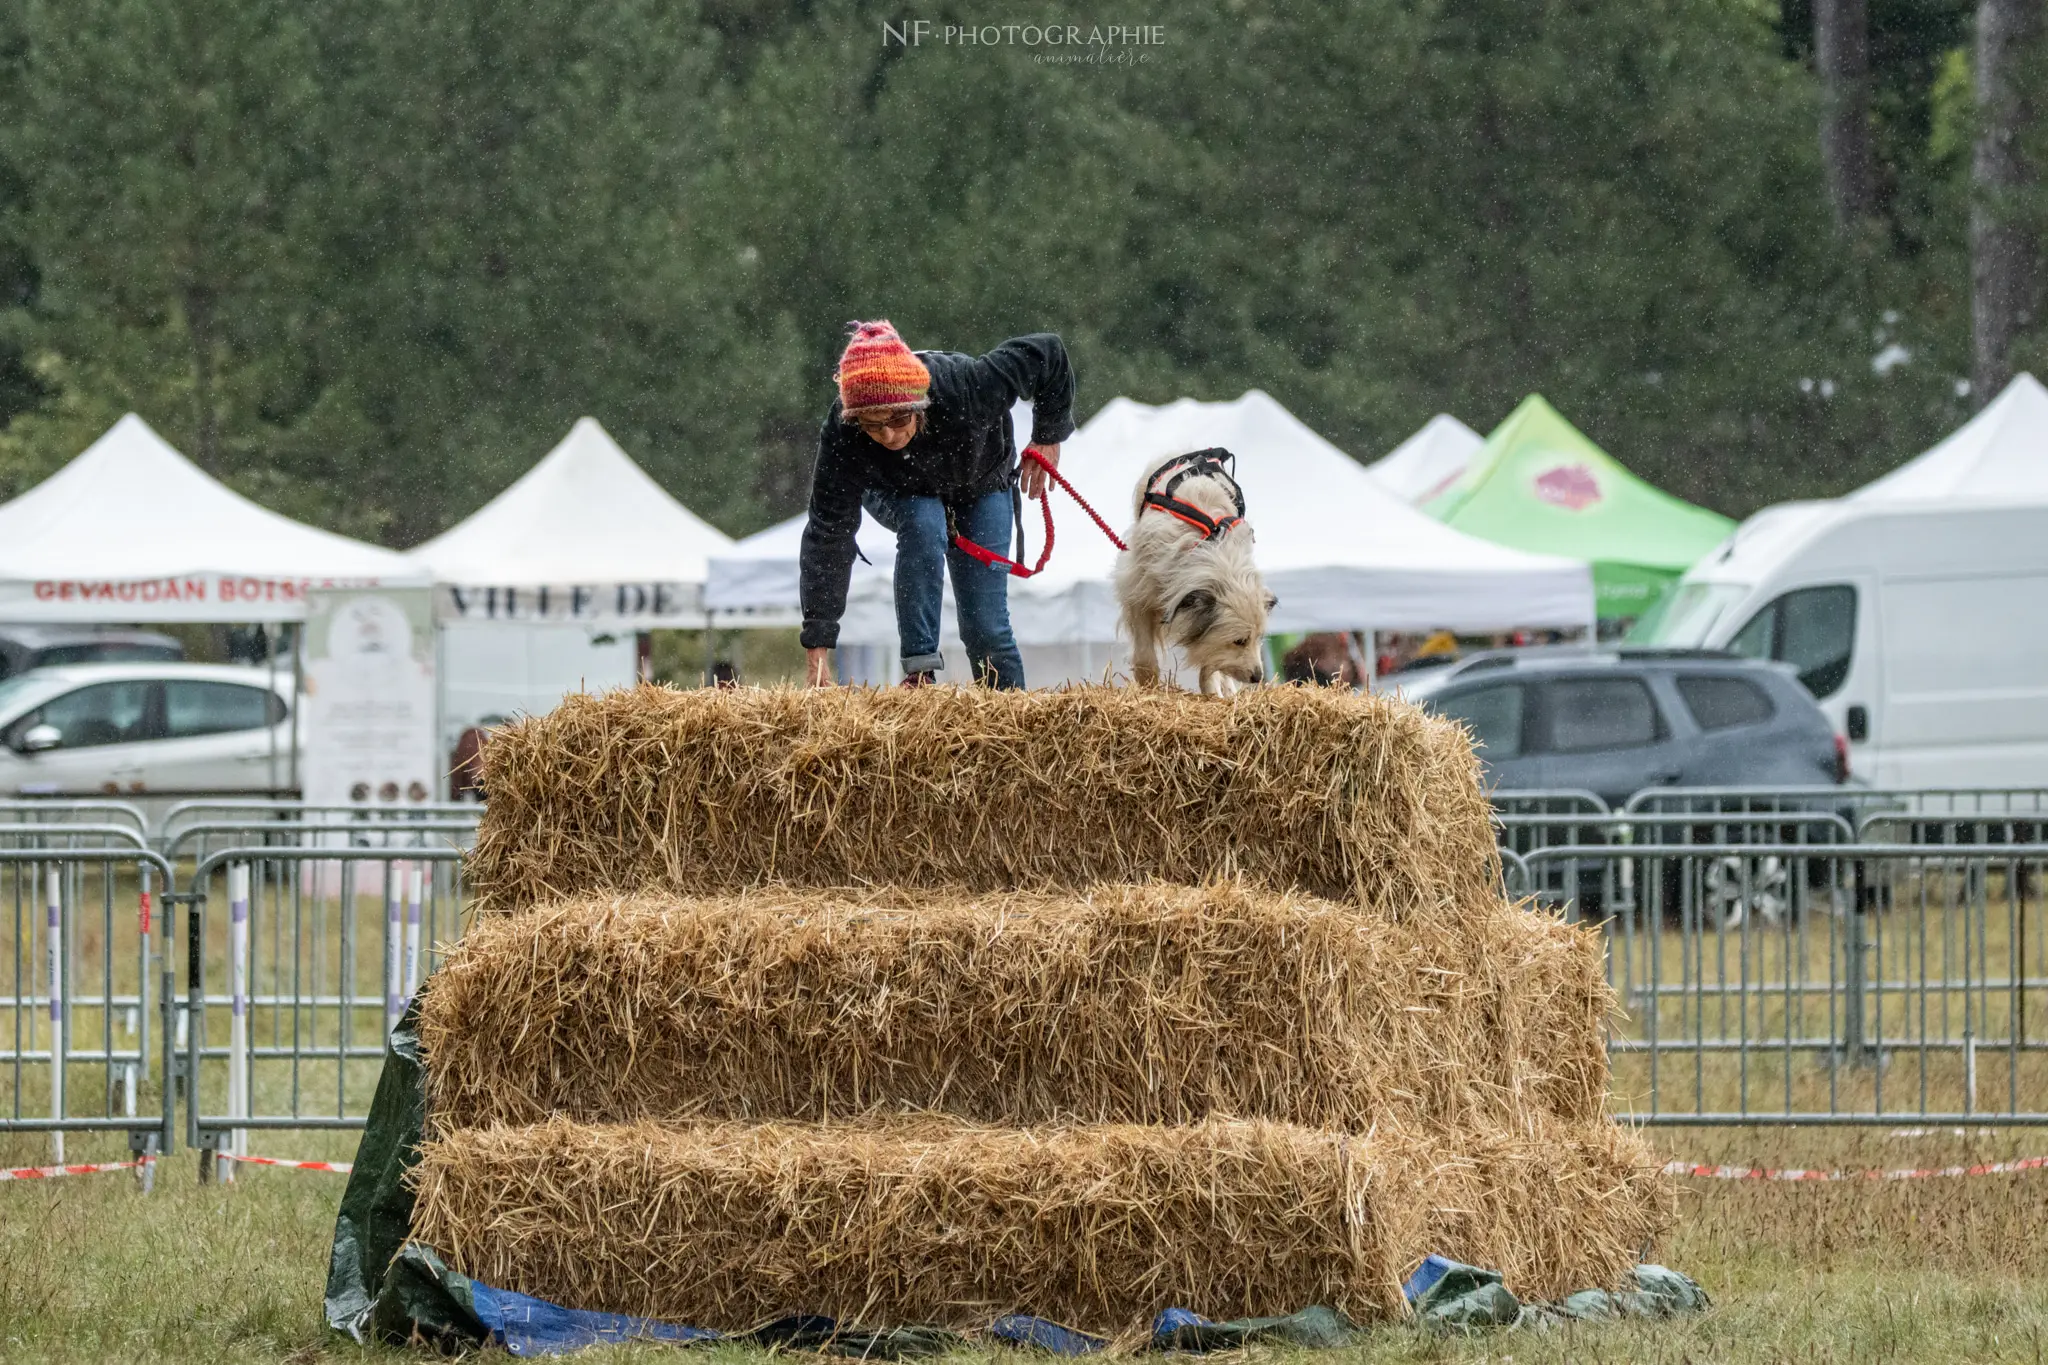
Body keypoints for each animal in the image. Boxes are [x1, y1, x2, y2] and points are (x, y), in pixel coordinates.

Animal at [1114, 450, 1269, 695]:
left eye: (1259, 638)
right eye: (1239, 641)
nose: (1258, 677)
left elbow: (1210, 656)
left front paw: (1213, 691)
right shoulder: (1138, 593)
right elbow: (1145, 654)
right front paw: (1149, 687)